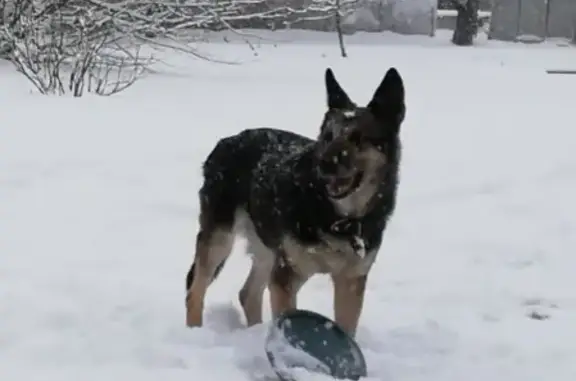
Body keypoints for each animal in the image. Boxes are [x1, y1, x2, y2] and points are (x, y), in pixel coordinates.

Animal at [184, 67, 404, 336]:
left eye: (358, 138)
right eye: (327, 136)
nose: (323, 164)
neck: (338, 218)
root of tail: (227, 141)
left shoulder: (350, 282)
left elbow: (346, 328)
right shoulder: (286, 277)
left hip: (266, 246)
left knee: (248, 294)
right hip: (220, 239)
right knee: (195, 291)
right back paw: (194, 333)